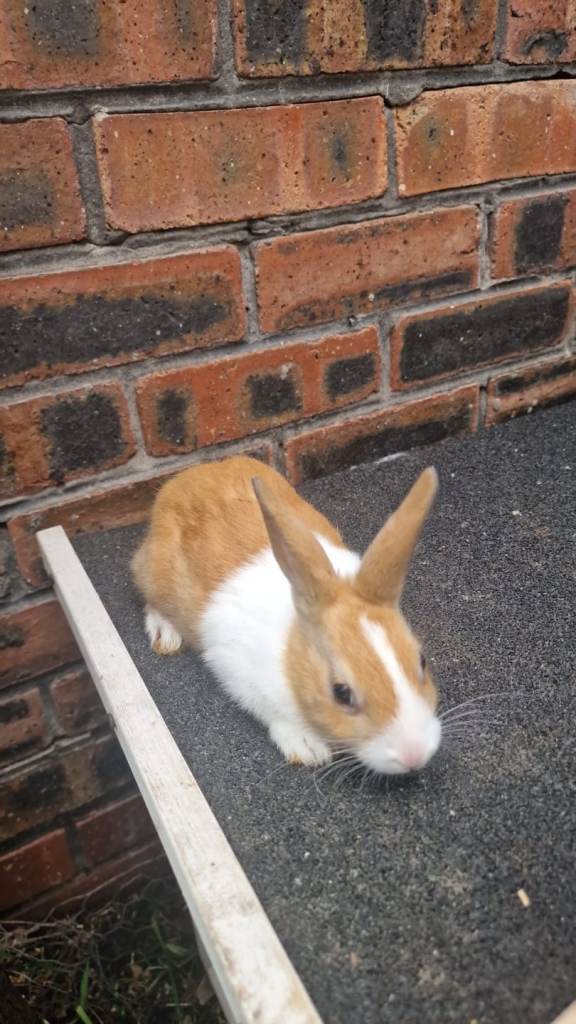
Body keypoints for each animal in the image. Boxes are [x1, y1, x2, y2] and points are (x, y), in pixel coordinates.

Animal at [132, 455, 441, 775]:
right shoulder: (234, 671)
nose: (414, 755)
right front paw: (308, 749)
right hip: (153, 576)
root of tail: (182, 479)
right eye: (341, 693)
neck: (292, 653)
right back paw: (166, 636)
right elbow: (271, 712)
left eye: (422, 661)